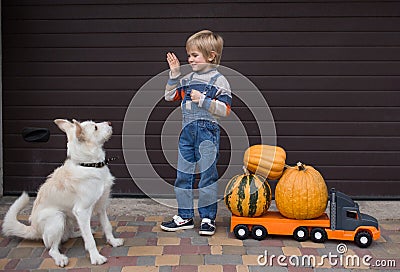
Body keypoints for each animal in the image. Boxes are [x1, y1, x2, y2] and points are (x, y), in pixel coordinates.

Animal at [2, 118, 123, 266]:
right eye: (95, 127)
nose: (110, 123)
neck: (89, 164)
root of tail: (35, 229)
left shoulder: (101, 205)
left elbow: (107, 226)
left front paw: (113, 242)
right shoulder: (82, 211)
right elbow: (90, 240)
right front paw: (96, 257)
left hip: (70, 219)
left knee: (69, 235)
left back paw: (78, 233)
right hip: (57, 217)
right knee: (52, 248)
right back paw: (60, 258)